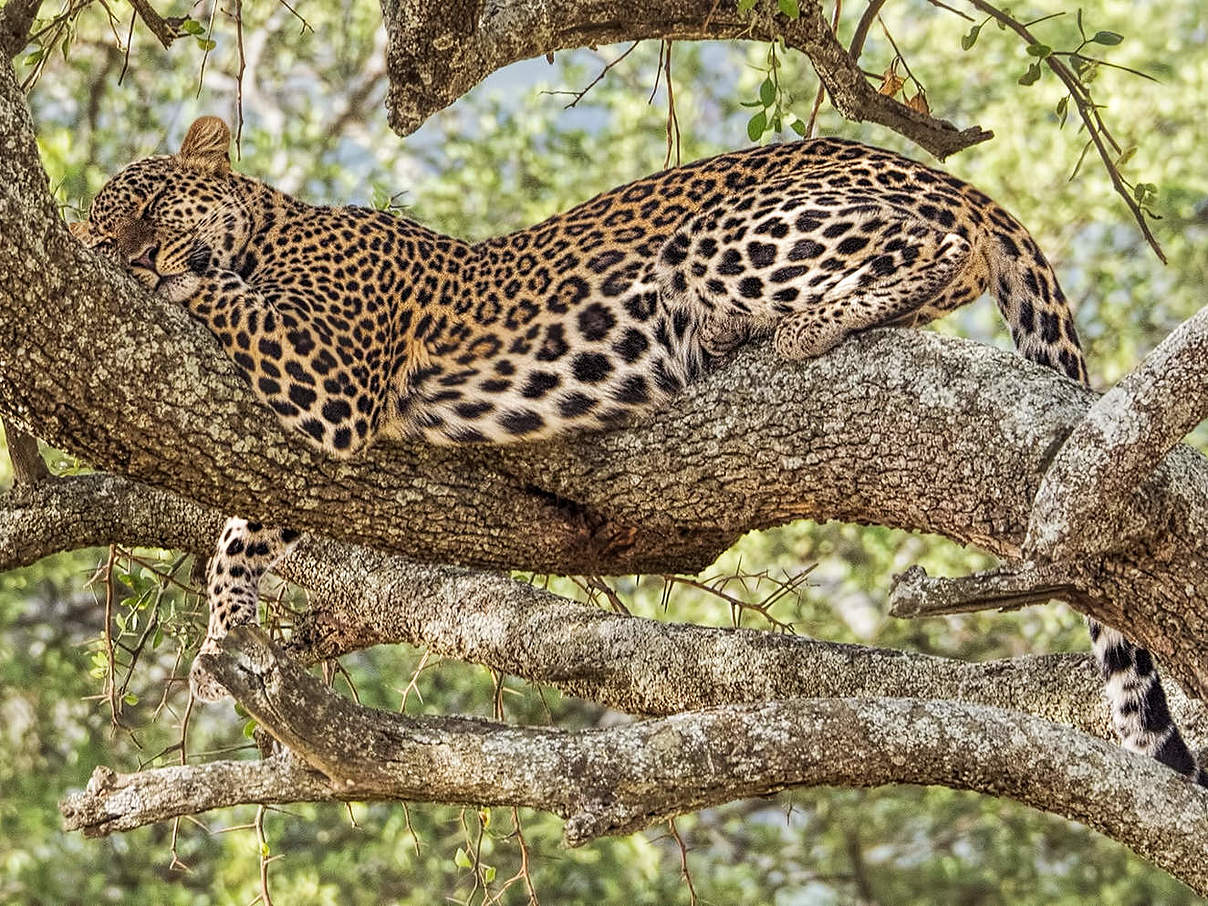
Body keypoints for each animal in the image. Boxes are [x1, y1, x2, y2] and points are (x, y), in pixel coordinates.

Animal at [70, 115, 1203, 787]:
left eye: (149, 204)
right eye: (95, 233)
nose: (121, 258)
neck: (276, 225)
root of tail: (919, 165)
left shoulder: (330, 369)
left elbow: (217, 300)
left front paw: (181, 279)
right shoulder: (303, 439)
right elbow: (248, 523)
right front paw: (227, 630)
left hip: (732, 237)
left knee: (937, 247)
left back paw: (805, 326)